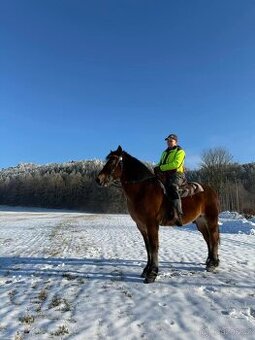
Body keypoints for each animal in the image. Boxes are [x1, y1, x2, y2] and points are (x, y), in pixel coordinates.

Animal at [95, 146, 219, 284]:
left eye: (112, 161)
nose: (98, 179)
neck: (142, 190)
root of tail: (211, 190)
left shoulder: (152, 224)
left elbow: (154, 246)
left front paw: (152, 273)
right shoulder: (141, 225)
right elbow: (148, 247)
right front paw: (146, 270)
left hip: (211, 219)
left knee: (214, 238)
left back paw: (213, 264)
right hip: (200, 222)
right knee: (208, 239)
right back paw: (210, 261)